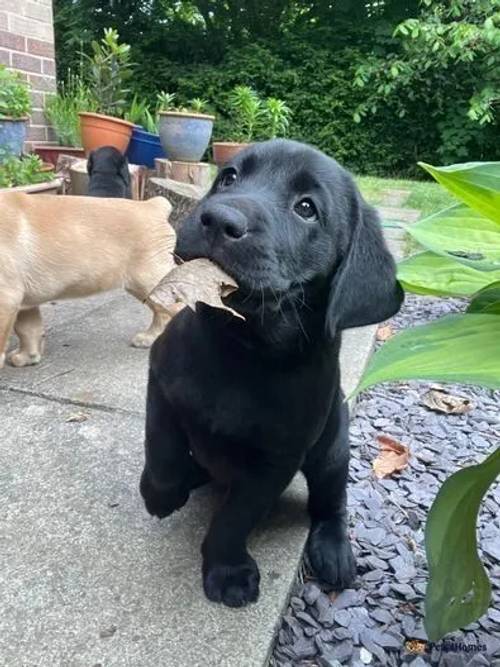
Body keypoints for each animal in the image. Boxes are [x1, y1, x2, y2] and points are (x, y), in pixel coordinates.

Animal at [0, 192, 177, 370]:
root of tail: (153, 206)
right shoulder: (22, 301)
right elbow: (28, 329)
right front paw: (27, 357)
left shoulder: (7, 299)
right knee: (162, 312)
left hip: (149, 279)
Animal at [140, 140, 402, 604]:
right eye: (229, 177)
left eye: (306, 208)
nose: (218, 219)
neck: (243, 347)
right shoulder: (161, 380)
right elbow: (162, 446)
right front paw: (159, 493)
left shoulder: (275, 461)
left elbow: (234, 519)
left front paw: (227, 569)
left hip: (333, 452)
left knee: (331, 502)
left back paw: (334, 549)